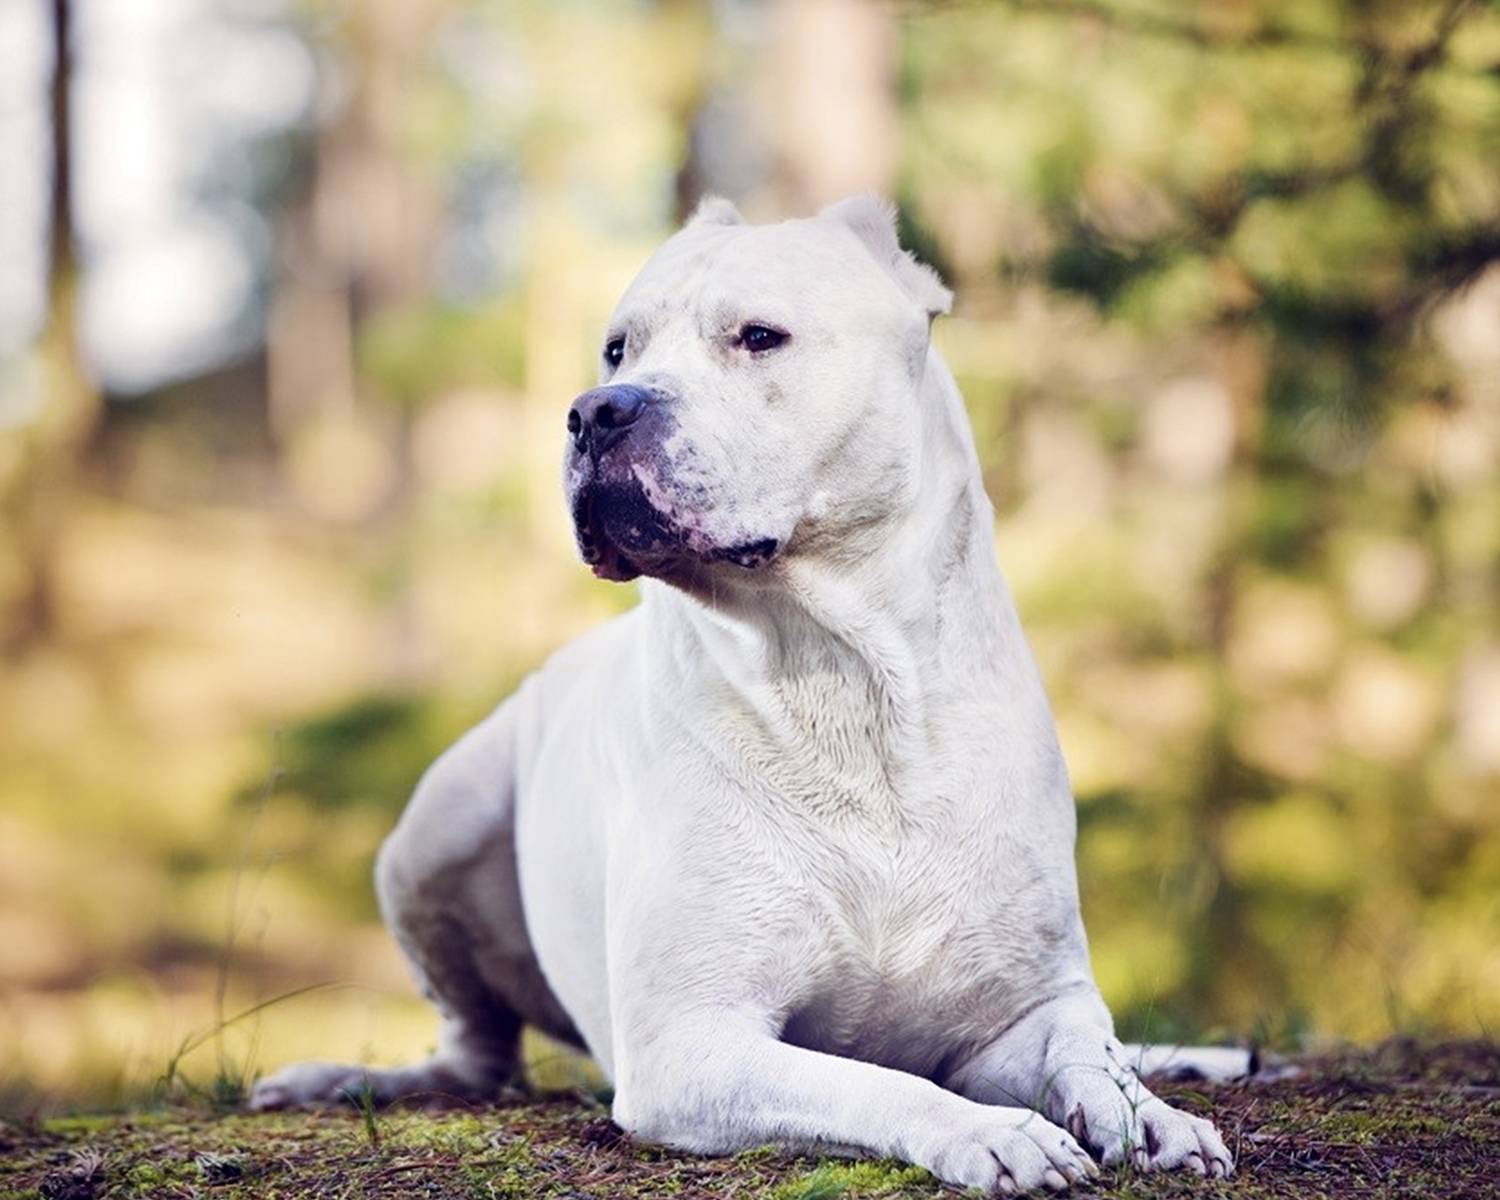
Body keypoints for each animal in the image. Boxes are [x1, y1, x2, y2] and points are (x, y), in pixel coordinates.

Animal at [252, 196, 1242, 1188]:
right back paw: (345, 1079)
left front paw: (1153, 1116)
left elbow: (1089, 1057)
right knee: (473, 1051)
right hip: (434, 831)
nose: (595, 411)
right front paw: (992, 1132)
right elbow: (879, 1084)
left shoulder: (1027, 1006)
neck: (849, 684)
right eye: (618, 349)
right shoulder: (691, 1044)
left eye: (759, 337)